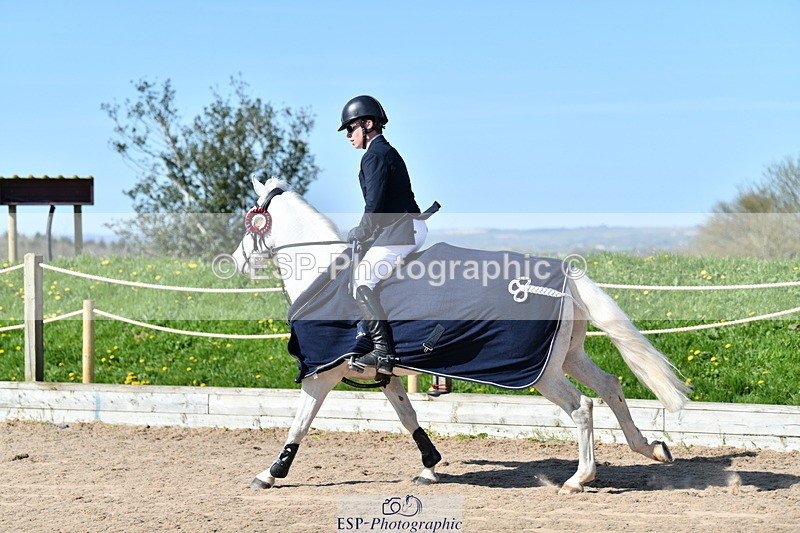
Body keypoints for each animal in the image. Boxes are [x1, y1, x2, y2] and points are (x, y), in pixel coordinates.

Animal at [231, 176, 689, 494]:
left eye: (252, 221)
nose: (236, 262)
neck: (325, 275)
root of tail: (562, 274)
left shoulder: (322, 372)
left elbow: (299, 424)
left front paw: (270, 473)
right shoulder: (386, 373)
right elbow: (408, 416)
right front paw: (429, 466)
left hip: (543, 372)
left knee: (582, 407)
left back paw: (579, 478)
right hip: (570, 356)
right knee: (611, 387)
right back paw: (650, 448)